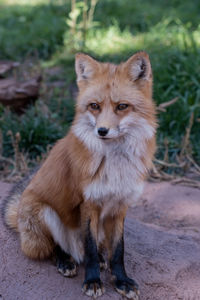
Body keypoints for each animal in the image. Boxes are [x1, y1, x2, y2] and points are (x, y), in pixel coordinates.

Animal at [2, 52, 157, 298]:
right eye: (94, 106)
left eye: (122, 106)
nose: (102, 131)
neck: (115, 165)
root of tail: (18, 216)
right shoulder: (89, 204)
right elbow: (90, 249)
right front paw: (93, 281)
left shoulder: (120, 206)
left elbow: (118, 251)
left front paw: (121, 281)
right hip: (45, 214)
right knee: (57, 247)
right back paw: (66, 261)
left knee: (97, 249)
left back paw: (101, 260)